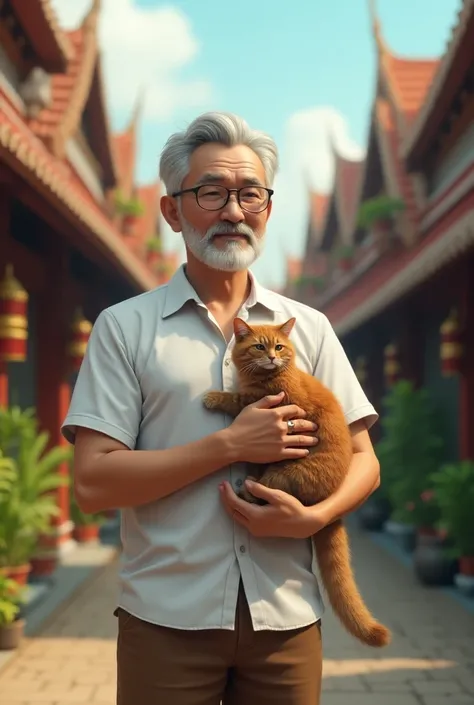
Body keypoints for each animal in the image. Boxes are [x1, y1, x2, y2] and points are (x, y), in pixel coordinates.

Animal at [202, 316, 390, 648]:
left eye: (279, 346)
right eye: (259, 346)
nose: (272, 357)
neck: (267, 377)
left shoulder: (265, 403)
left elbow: (235, 400)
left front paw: (214, 397)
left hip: (283, 474)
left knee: (263, 492)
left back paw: (248, 490)